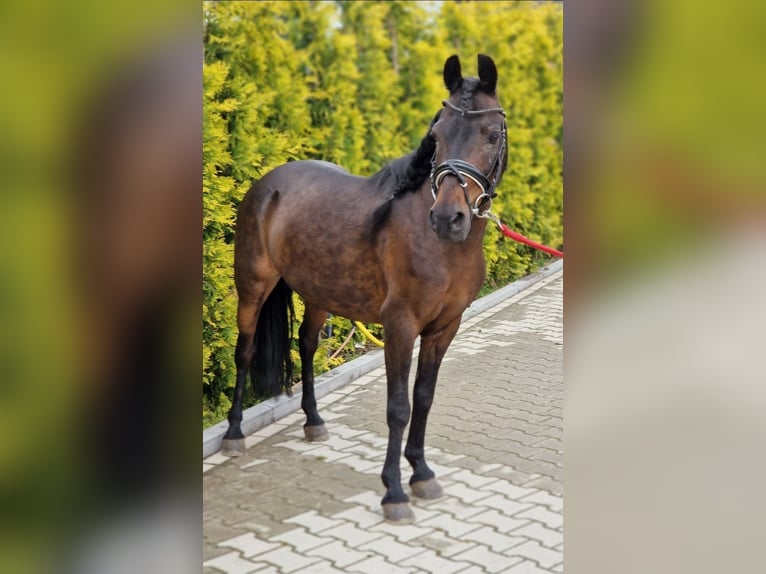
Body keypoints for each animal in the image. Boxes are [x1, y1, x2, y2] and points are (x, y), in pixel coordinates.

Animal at [222, 54, 508, 523]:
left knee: (306, 344)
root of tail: (269, 181)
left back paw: (314, 422)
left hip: (320, 293)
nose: (448, 218)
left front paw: (422, 473)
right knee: (243, 351)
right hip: (253, 286)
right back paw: (233, 433)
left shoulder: (444, 328)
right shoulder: (400, 327)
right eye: (437, 136)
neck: (440, 247)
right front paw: (394, 491)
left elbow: (423, 398)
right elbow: (398, 407)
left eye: (492, 134)